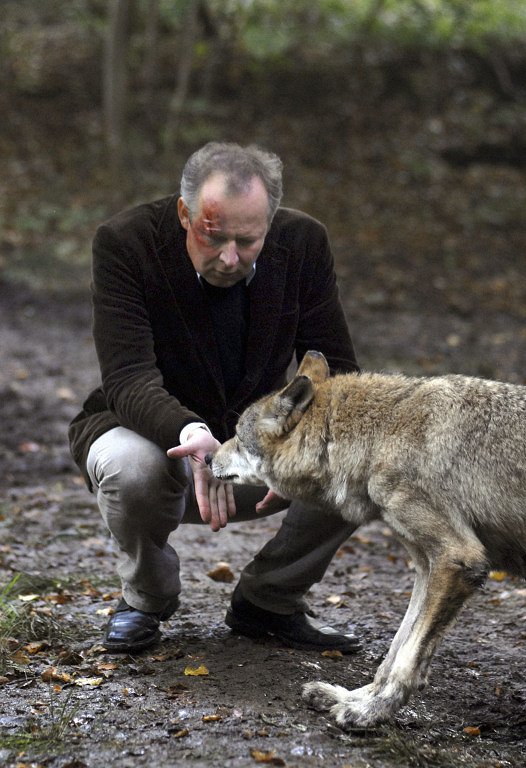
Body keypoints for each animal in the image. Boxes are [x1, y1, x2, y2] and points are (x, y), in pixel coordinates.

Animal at [210, 352, 526, 728]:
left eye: (237, 436)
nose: (207, 456)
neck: (382, 434)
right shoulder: (426, 567)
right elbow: (395, 650)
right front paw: (352, 696)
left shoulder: (458, 559)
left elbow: (406, 659)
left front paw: (370, 711)